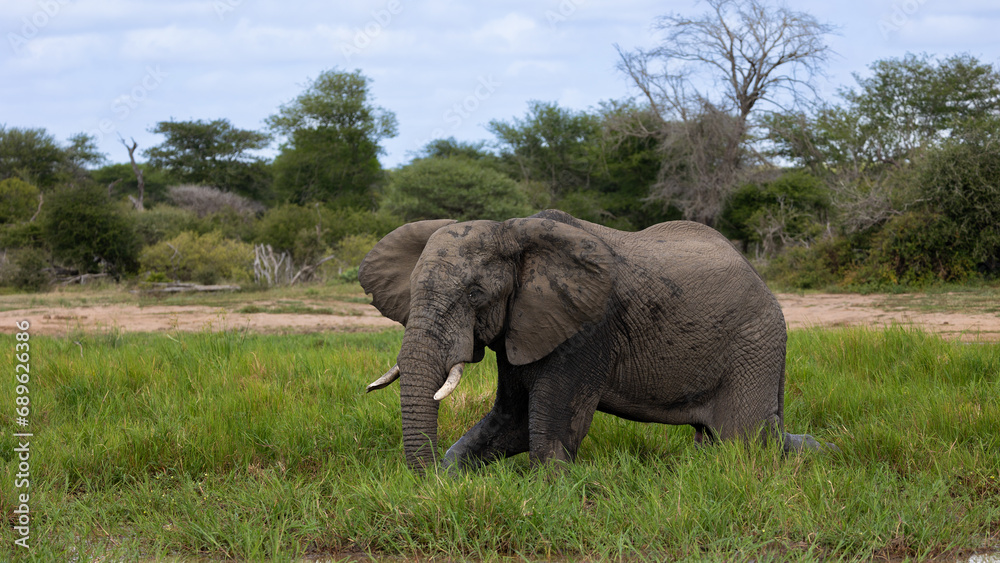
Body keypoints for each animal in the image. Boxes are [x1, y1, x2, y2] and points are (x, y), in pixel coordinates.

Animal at [360, 207, 828, 472]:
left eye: (475, 294)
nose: (425, 482)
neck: (512, 231)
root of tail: (762, 280)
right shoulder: (524, 326)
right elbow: (512, 422)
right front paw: (452, 477)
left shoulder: (588, 329)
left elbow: (549, 431)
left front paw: (551, 489)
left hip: (754, 342)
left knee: (745, 440)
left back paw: (820, 451)